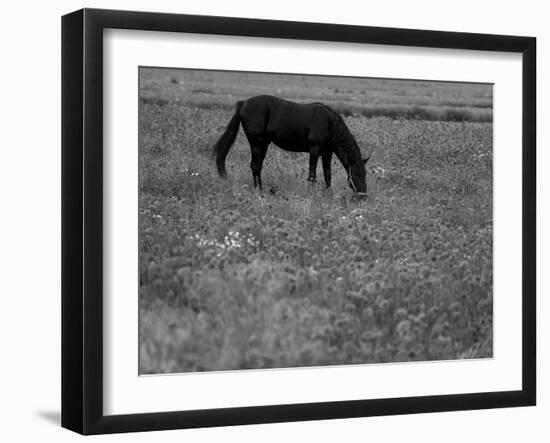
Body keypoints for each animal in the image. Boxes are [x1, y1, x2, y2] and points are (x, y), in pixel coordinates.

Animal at [211, 94, 370, 195]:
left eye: (365, 173)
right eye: (356, 173)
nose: (363, 196)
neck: (328, 124)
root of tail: (243, 103)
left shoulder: (327, 153)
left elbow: (327, 174)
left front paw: (328, 194)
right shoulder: (314, 151)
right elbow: (312, 174)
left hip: (264, 144)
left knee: (257, 166)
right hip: (256, 143)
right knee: (255, 166)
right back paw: (259, 191)